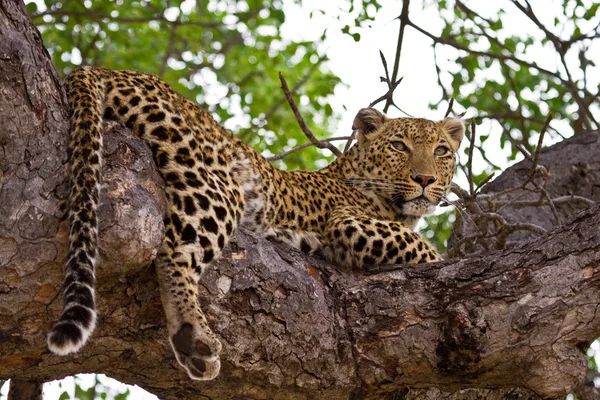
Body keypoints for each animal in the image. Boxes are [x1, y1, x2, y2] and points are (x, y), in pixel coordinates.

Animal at [48, 65, 464, 382]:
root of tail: (111, 69)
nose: (425, 179)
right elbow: (423, 247)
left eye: (442, 151)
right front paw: (445, 260)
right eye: (398, 147)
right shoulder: (348, 223)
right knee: (173, 250)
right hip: (217, 185)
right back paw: (193, 335)